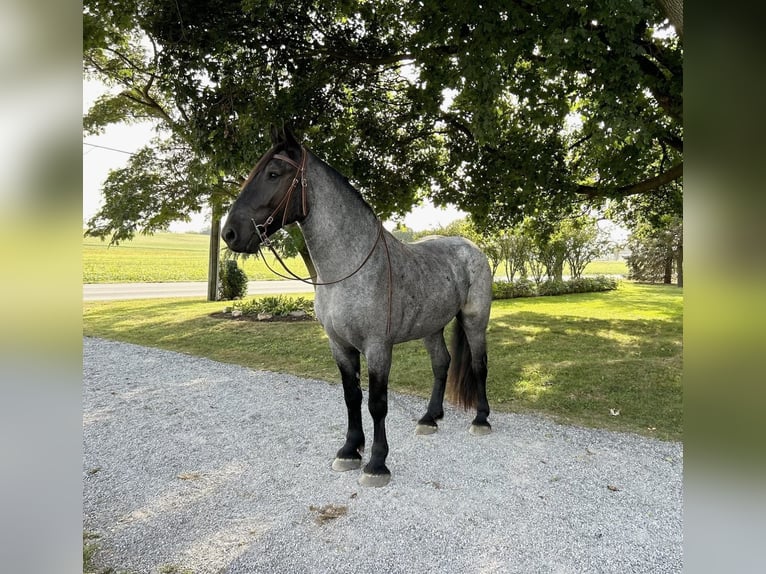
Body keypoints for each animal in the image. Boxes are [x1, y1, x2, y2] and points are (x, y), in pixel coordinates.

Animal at [222, 125, 496, 486]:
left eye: (273, 173)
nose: (230, 233)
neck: (347, 271)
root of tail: (471, 247)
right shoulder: (339, 345)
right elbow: (352, 397)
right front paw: (350, 450)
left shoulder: (378, 347)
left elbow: (377, 403)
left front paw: (377, 463)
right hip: (432, 326)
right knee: (441, 364)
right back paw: (429, 418)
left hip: (474, 320)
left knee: (479, 365)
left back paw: (481, 420)